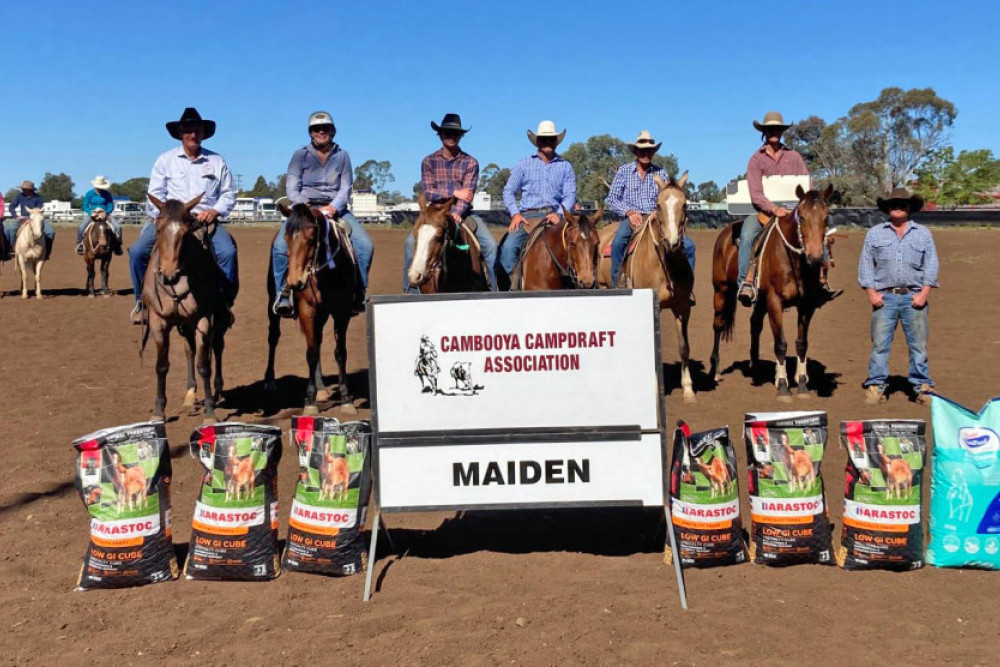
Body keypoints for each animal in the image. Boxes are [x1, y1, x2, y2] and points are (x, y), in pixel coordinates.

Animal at [140, 194, 229, 422]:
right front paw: (158, 411)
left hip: (216, 320)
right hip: (185, 324)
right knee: (190, 350)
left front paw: (210, 412)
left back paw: (217, 390)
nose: (169, 274)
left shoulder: (203, 319)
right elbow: (161, 366)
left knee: (217, 347)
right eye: (158, 229)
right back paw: (189, 396)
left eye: (185, 233)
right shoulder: (158, 322)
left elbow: (204, 366)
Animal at [264, 201, 358, 414]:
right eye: (287, 239)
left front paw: (346, 399)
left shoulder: (342, 312)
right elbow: (312, 354)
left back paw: (322, 388)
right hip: (272, 302)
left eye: (311, 238)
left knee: (318, 339)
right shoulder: (308, 311)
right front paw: (310, 402)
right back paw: (270, 381)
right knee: (274, 336)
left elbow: (340, 353)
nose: (295, 282)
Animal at [592, 172, 696, 402]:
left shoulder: (683, 307)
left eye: (684, 204)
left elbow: (684, 347)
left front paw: (688, 390)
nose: (672, 242)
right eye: (658, 204)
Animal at [712, 183, 836, 402]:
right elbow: (780, 344)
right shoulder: (774, 302)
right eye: (801, 217)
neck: (793, 261)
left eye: (826, 216)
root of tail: (724, 235)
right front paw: (784, 387)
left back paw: (755, 368)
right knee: (718, 325)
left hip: (758, 300)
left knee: (755, 324)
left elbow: (801, 344)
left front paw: (802, 384)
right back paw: (716, 371)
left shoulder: (807, 305)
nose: (814, 257)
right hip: (721, 290)